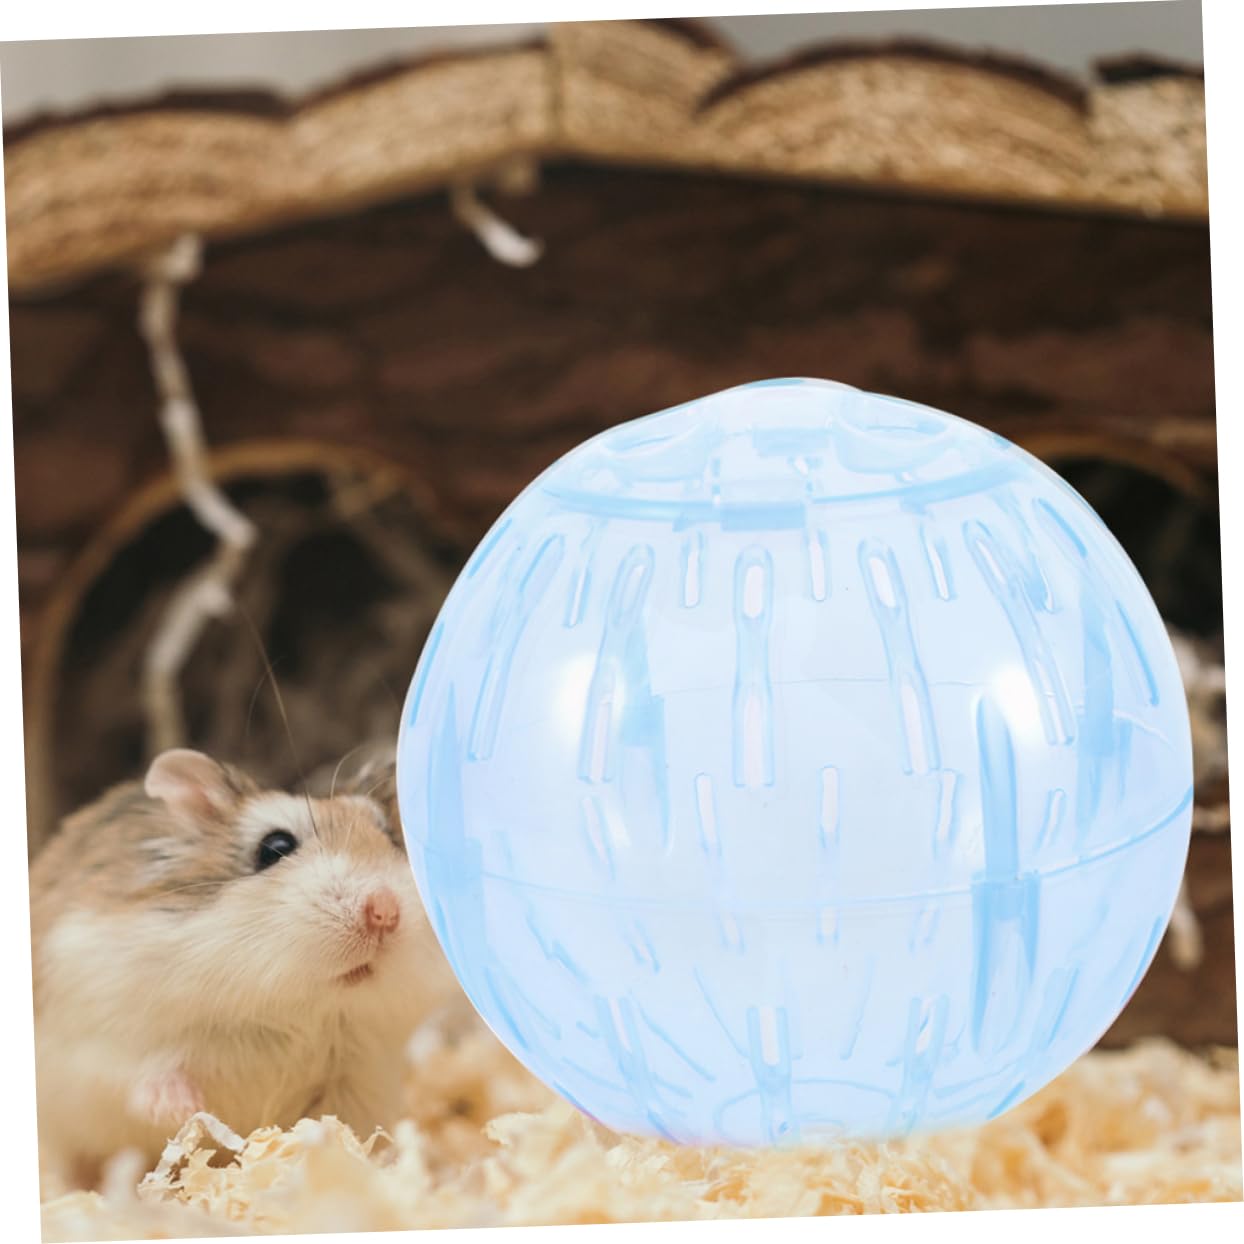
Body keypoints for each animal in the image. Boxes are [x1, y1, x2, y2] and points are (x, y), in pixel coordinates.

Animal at [29, 748, 459, 1192]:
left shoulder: (359, 1079)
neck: (296, 1008)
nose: (385, 911)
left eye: (390, 837)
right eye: (275, 847)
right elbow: (143, 1074)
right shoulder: (101, 1034)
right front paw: (185, 1110)